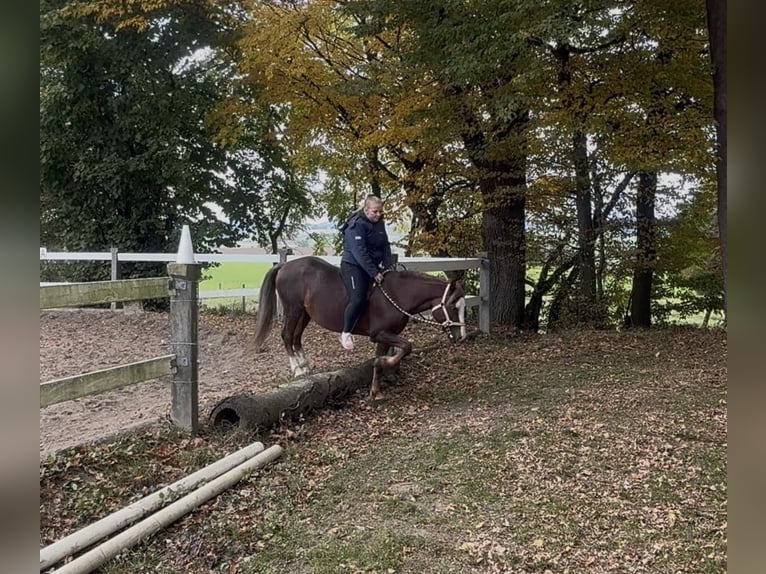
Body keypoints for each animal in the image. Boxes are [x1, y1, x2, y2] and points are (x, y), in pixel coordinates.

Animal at [252, 256, 467, 400]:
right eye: (452, 307)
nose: (461, 337)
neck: (397, 294)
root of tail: (285, 265)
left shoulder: (384, 336)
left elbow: (378, 361)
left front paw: (376, 390)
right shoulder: (380, 334)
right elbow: (407, 347)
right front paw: (389, 364)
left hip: (305, 314)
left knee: (296, 337)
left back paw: (305, 365)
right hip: (293, 310)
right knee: (287, 336)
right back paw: (297, 369)